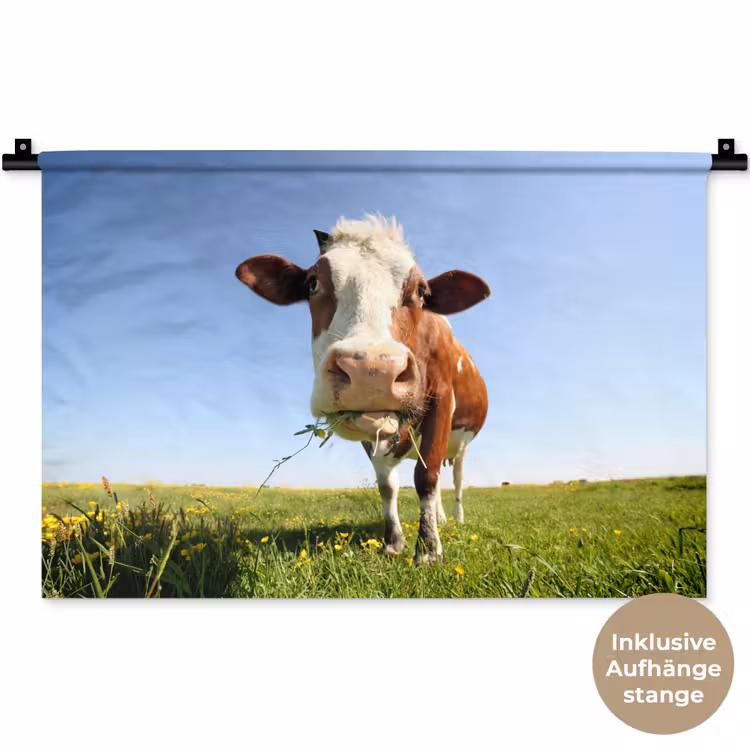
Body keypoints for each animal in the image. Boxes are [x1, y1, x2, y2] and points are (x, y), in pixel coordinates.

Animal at [235, 215, 490, 564]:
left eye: (421, 290)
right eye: (312, 283)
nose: (372, 371)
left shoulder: (440, 400)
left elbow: (426, 478)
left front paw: (428, 551)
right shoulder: (368, 427)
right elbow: (387, 486)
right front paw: (394, 542)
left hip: (462, 444)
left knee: (455, 479)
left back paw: (455, 519)